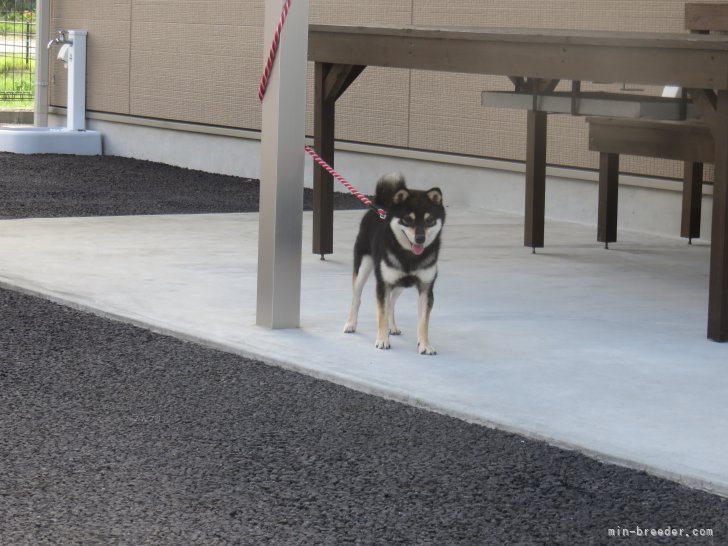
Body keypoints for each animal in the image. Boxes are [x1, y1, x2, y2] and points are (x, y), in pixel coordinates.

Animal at [346, 172, 446, 354]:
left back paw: (392, 327)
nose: (420, 238)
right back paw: (351, 324)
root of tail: (379, 205)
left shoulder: (426, 287)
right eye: (407, 219)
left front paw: (425, 345)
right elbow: (381, 314)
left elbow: (423, 322)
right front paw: (382, 340)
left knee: (391, 303)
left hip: (399, 284)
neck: (410, 256)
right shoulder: (383, 284)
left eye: (429, 220)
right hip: (363, 268)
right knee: (357, 298)